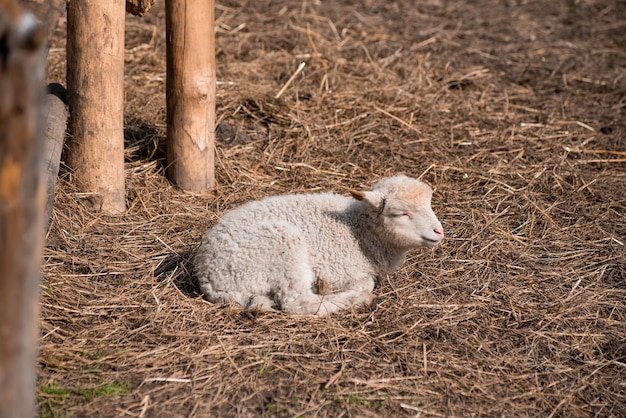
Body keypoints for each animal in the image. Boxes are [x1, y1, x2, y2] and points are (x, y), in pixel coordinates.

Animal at [193, 175, 442, 316]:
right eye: (401, 213)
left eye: (430, 204)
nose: (438, 232)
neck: (360, 230)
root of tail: (208, 278)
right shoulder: (338, 268)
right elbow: (366, 282)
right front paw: (341, 290)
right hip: (280, 247)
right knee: (297, 303)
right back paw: (359, 301)